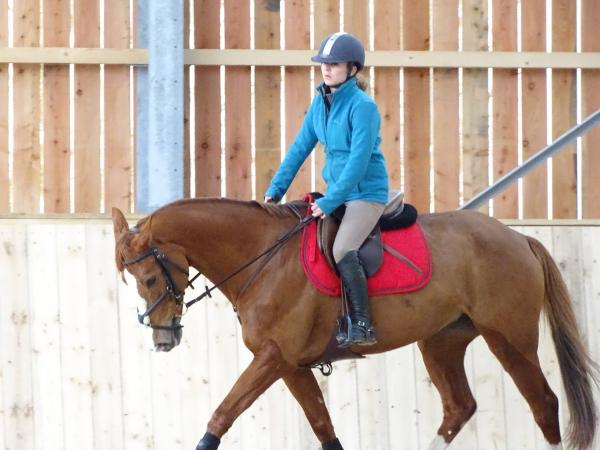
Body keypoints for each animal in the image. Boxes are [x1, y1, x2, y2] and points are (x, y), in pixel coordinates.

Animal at [111, 200, 596, 450]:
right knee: (459, 407)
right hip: (441, 341)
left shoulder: (273, 358)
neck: (265, 257)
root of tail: (519, 237)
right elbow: (324, 429)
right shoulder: (290, 365)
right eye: (131, 280)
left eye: (149, 278)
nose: (163, 338)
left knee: (544, 404)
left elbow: (221, 415)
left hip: (509, 339)